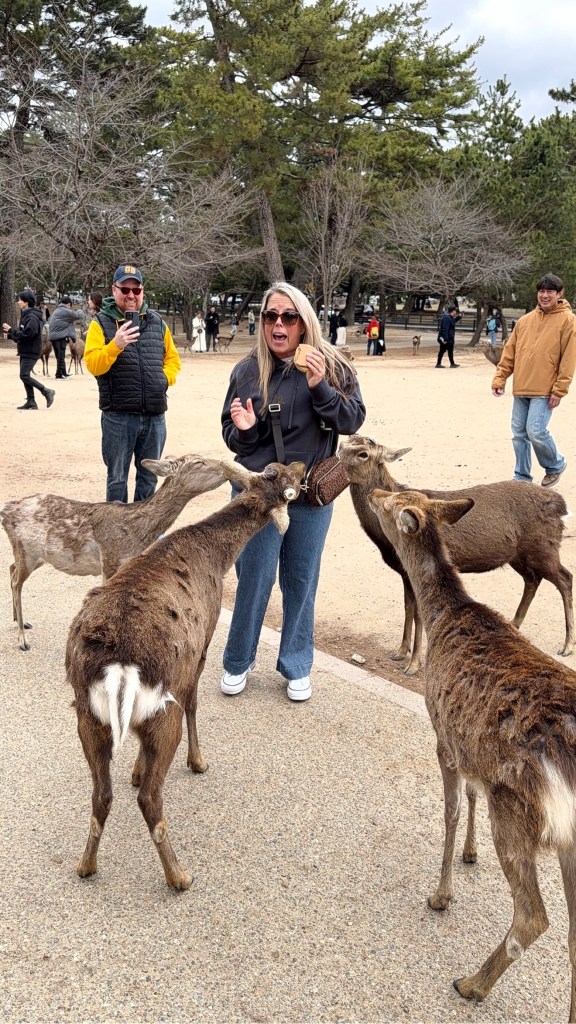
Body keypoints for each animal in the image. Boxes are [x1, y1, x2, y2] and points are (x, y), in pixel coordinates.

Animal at [0, 454, 232, 652]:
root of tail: (5, 511)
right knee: (16, 581)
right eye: (199, 462)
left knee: (11, 569)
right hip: (26, 549)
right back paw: (22, 639)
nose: (226, 465)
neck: (136, 530)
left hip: (36, 555)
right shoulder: (110, 559)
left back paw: (19, 620)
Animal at [66, 459, 305, 891]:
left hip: (86, 715)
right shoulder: (204, 643)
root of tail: (118, 665)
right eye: (286, 480)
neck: (215, 559)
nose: (300, 463)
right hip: (163, 711)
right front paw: (198, 762)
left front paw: (135, 770)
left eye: (276, 468)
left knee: (101, 795)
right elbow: (195, 702)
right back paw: (179, 875)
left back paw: (86, 865)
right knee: (149, 797)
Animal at [338, 434, 574, 675]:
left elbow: (417, 613)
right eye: (343, 444)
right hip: (521, 554)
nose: (336, 458)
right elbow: (408, 607)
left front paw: (414, 663)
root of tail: (562, 507)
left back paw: (567, 645)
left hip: (544, 547)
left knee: (565, 578)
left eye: (363, 453)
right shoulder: (404, 572)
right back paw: (514, 624)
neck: (385, 542)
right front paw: (400, 652)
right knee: (532, 579)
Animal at [368, 485, 576, 1022]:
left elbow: (451, 809)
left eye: (393, 501)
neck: (447, 615)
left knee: (533, 917)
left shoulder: (442, 734)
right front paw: (469, 853)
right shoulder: (469, 749)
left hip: (520, 813)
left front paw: (441, 895)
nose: (373, 491)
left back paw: (473, 984)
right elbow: (471, 797)